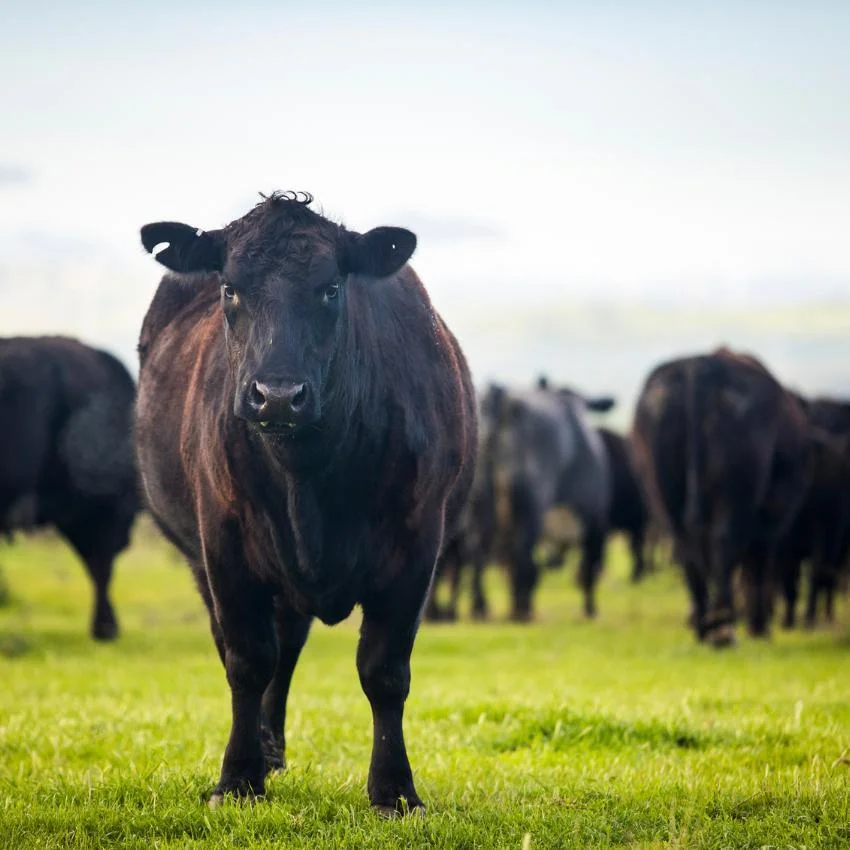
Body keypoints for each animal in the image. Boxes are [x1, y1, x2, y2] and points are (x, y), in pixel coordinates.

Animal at [135, 191, 476, 815]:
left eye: (331, 288)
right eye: (229, 288)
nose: (277, 396)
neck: (308, 477)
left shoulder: (418, 544)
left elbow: (384, 670)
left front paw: (394, 789)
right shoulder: (223, 544)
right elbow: (247, 660)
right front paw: (237, 777)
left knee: (288, 645)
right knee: (254, 649)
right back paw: (262, 751)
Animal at [631, 347, 810, 646]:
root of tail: (700, 365)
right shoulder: (773, 518)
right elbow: (757, 565)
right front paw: (759, 625)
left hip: (664, 498)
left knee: (687, 550)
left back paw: (704, 625)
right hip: (735, 499)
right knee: (725, 545)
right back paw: (724, 628)